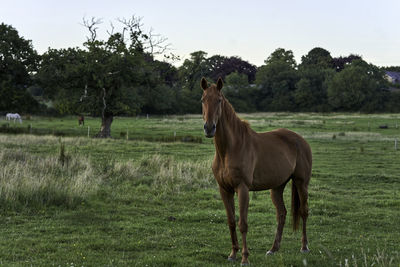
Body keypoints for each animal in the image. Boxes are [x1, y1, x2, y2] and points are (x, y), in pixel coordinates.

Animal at [202, 77, 310, 266]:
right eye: (202, 100)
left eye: (219, 100)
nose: (209, 128)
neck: (230, 149)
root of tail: (301, 140)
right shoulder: (225, 190)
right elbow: (231, 221)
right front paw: (233, 254)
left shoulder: (242, 189)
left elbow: (243, 223)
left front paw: (245, 258)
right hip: (277, 187)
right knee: (281, 214)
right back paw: (273, 249)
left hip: (301, 183)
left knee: (304, 212)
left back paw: (304, 247)